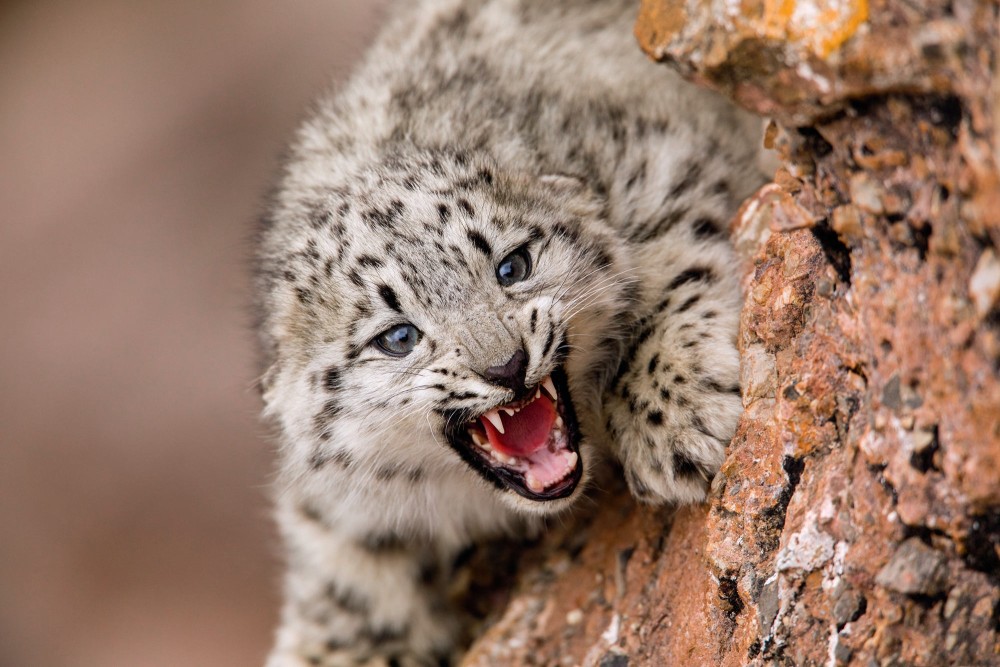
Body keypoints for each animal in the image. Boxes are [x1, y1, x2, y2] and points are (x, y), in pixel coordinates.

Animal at [256, 1, 764, 667]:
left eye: (512, 266)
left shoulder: (664, 164)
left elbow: (670, 255)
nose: (507, 366)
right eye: (398, 337)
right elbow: (347, 590)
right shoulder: (347, 519)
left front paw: (675, 426)